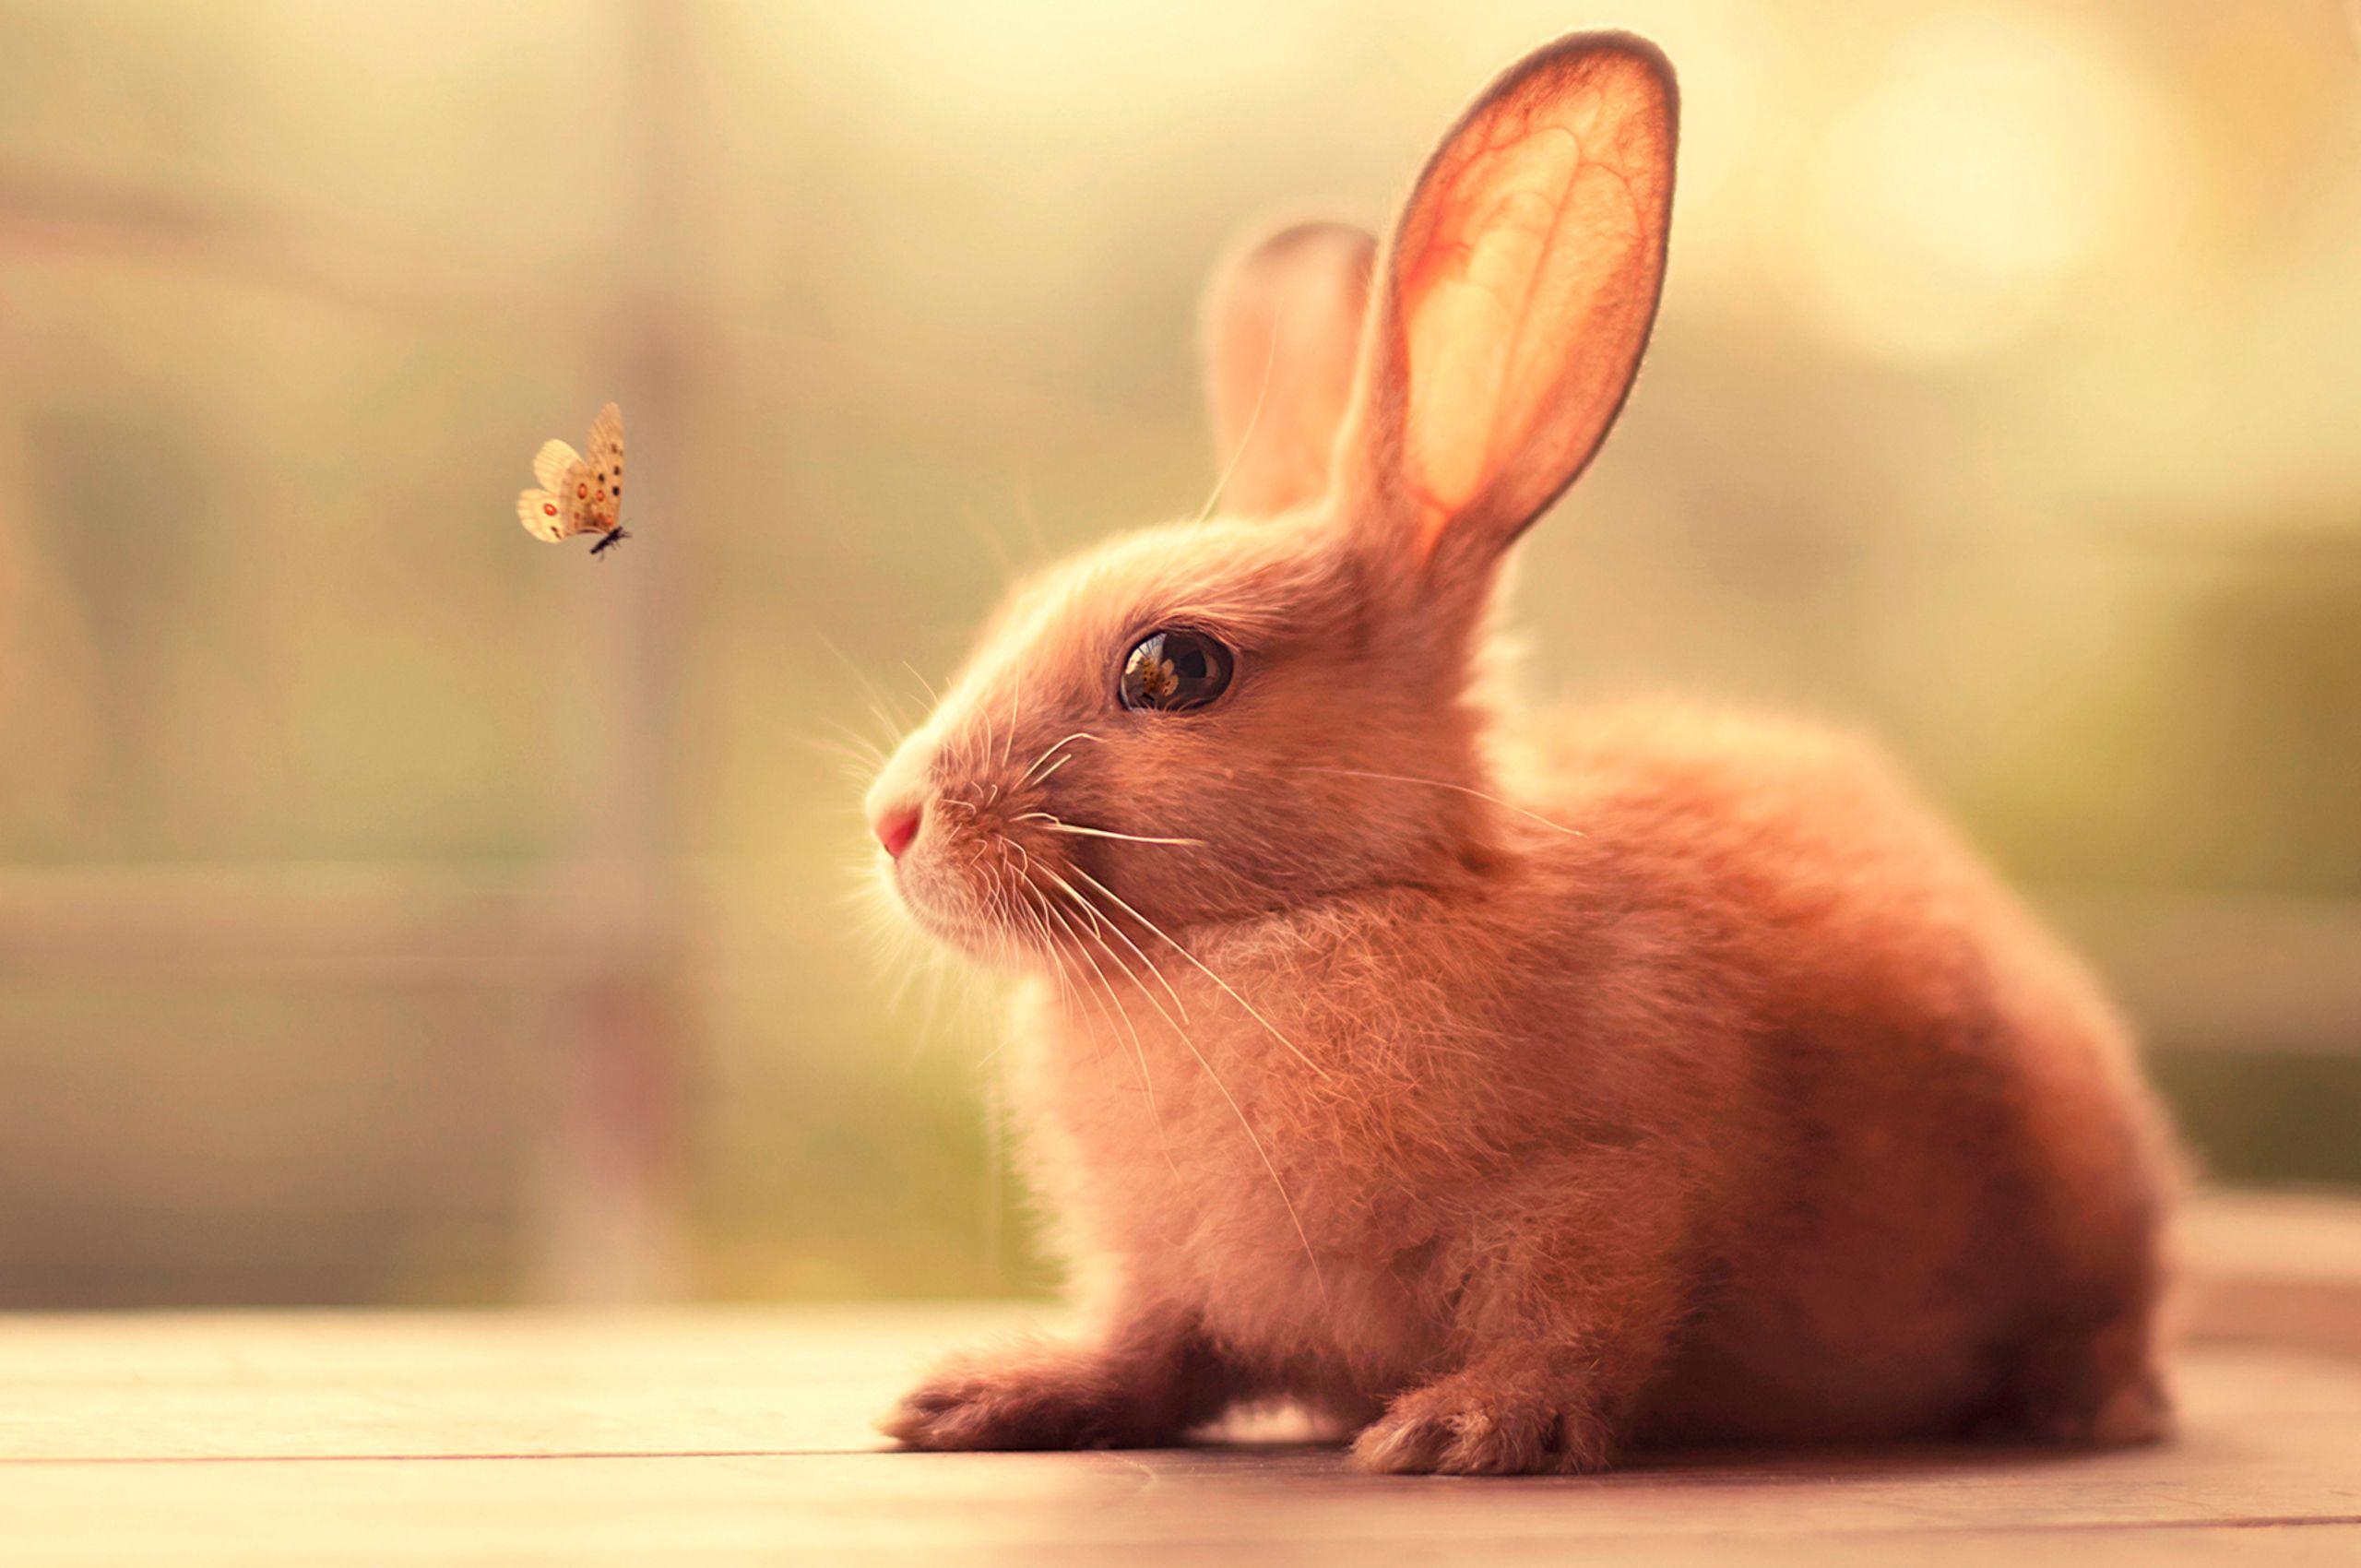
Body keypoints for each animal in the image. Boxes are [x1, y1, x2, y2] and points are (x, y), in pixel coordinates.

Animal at [862, 33, 2178, 1476]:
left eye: (1175, 668)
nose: (893, 821)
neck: (1299, 917)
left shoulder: (1605, 1196)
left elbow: (1571, 1331)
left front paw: (1454, 1429)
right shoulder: (1170, 1281)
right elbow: (1148, 1354)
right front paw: (982, 1398)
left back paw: (2087, 1407)